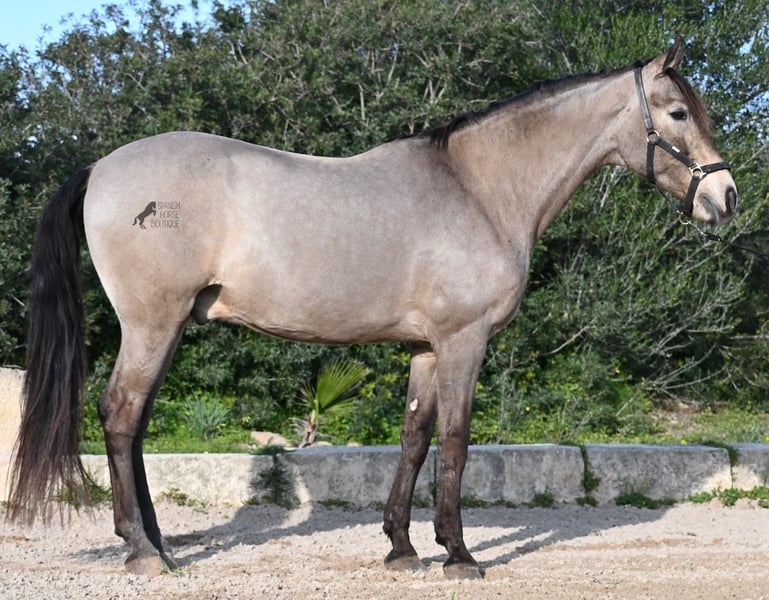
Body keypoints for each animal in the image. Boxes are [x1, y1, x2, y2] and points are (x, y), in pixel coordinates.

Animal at [8, 40, 736, 579]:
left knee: (133, 426)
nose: (724, 198)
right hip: (151, 325)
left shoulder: (425, 348)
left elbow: (413, 436)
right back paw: (141, 552)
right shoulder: (464, 340)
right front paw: (459, 555)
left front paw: (402, 548)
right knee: (120, 417)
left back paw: (159, 544)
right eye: (677, 113)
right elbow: (455, 440)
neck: (479, 190)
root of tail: (101, 168)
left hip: (166, 328)